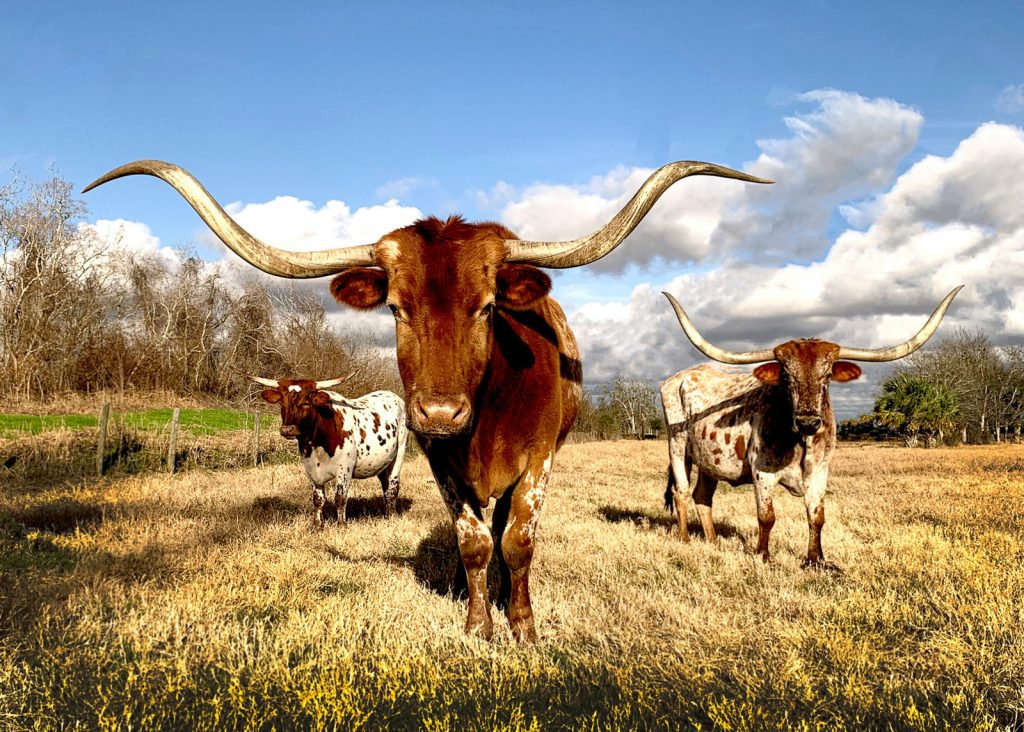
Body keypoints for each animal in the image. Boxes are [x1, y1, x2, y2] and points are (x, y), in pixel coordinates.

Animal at [245, 378, 405, 528]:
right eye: (282, 403)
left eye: (306, 403)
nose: (287, 430)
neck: (318, 444)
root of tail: (393, 395)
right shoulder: (311, 469)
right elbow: (318, 499)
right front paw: (317, 525)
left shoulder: (344, 469)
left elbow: (340, 498)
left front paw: (341, 525)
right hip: (383, 464)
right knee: (385, 486)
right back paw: (386, 514)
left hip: (399, 454)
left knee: (392, 487)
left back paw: (392, 516)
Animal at [659, 284, 962, 565]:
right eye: (786, 376)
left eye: (827, 375)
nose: (808, 421)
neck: (798, 441)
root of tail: (679, 377)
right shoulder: (762, 472)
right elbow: (766, 517)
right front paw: (763, 556)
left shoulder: (820, 471)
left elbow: (816, 517)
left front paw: (816, 560)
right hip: (677, 446)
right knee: (681, 491)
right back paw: (685, 540)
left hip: (709, 461)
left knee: (702, 496)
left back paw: (712, 541)